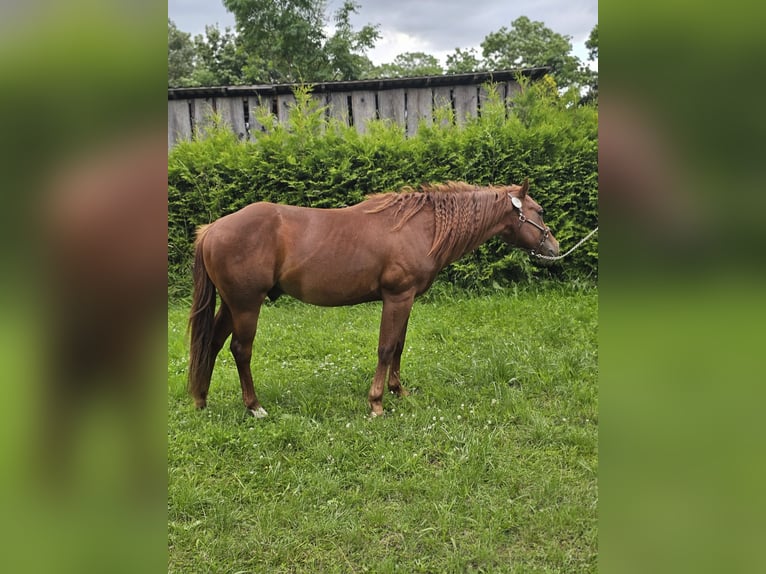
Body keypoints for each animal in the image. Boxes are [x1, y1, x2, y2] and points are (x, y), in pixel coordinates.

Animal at [186, 180, 560, 418]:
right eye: (539, 211)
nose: (554, 249)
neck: (421, 227)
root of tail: (212, 229)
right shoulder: (397, 298)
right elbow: (385, 347)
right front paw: (377, 402)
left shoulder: (407, 299)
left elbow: (399, 346)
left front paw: (398, 391)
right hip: (247, 305)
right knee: (240, 350)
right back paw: (254, 406)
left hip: (230, 305)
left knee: (212, 344)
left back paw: (201, 400)